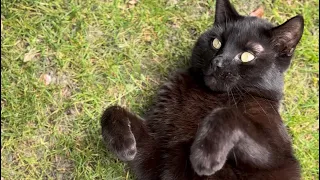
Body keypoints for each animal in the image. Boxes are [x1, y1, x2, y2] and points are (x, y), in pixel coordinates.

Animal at [101, 0, 304, 179]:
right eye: (216, 43)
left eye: (247, 56)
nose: (218, 62)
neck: (210, 95)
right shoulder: (156, 149)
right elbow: (112, 109)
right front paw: (123, 144)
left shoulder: (277, 155)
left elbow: (226, 113)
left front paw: (205, 155)